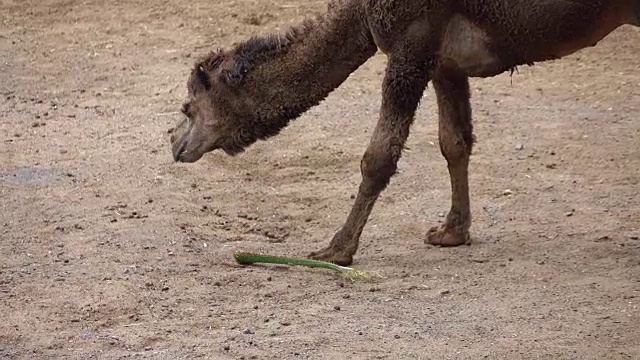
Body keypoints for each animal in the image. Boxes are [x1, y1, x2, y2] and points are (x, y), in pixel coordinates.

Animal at [170, 0, 640, 264]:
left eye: (188, 107)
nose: (175, 142)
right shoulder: (443, 60)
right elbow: (455, 142)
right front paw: (451, 233)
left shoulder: (410, 46)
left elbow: (378, 158)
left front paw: (337, 250)